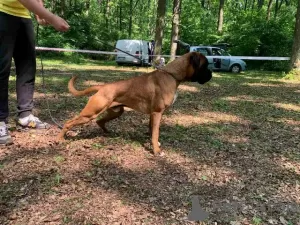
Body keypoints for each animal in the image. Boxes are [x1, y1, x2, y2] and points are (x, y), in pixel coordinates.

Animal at [57, 51, 212, 156]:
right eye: (205, 65)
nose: (211, 74)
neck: (172, 75)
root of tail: (102, 87)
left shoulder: (153, 114)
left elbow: (151, 130)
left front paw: (153, 143)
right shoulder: (157, 113)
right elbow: (155, 133)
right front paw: (156, 150)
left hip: (116, 112)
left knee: (100, 121)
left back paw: (108, 133)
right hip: (89, 114)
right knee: (69, 122)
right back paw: (59, 139)